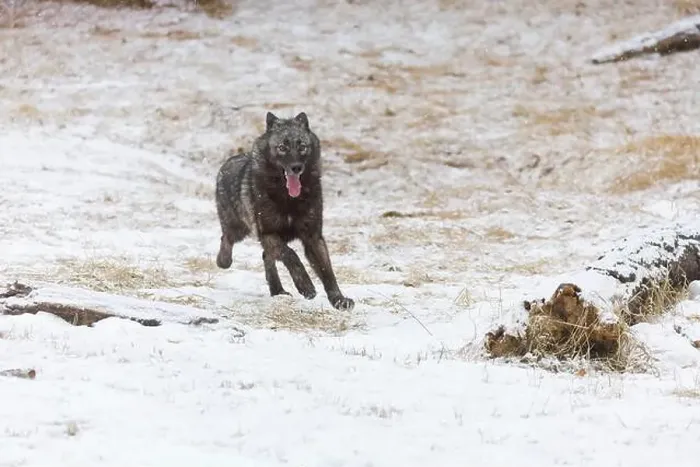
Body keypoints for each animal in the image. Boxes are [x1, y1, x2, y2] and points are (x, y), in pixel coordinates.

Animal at [214, 111, 355, 311]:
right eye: (282, 147)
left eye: (302, 146)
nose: (296, 167)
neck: (288, 199)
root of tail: (230, 160)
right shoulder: (268, 233)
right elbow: (291, 255)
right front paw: (305, 285)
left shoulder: (313, 237)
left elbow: (327, 271)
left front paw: (338, 299)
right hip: (238, 229)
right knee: (226, 239)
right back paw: (223, 261)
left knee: (266, 256)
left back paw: (277, 290)